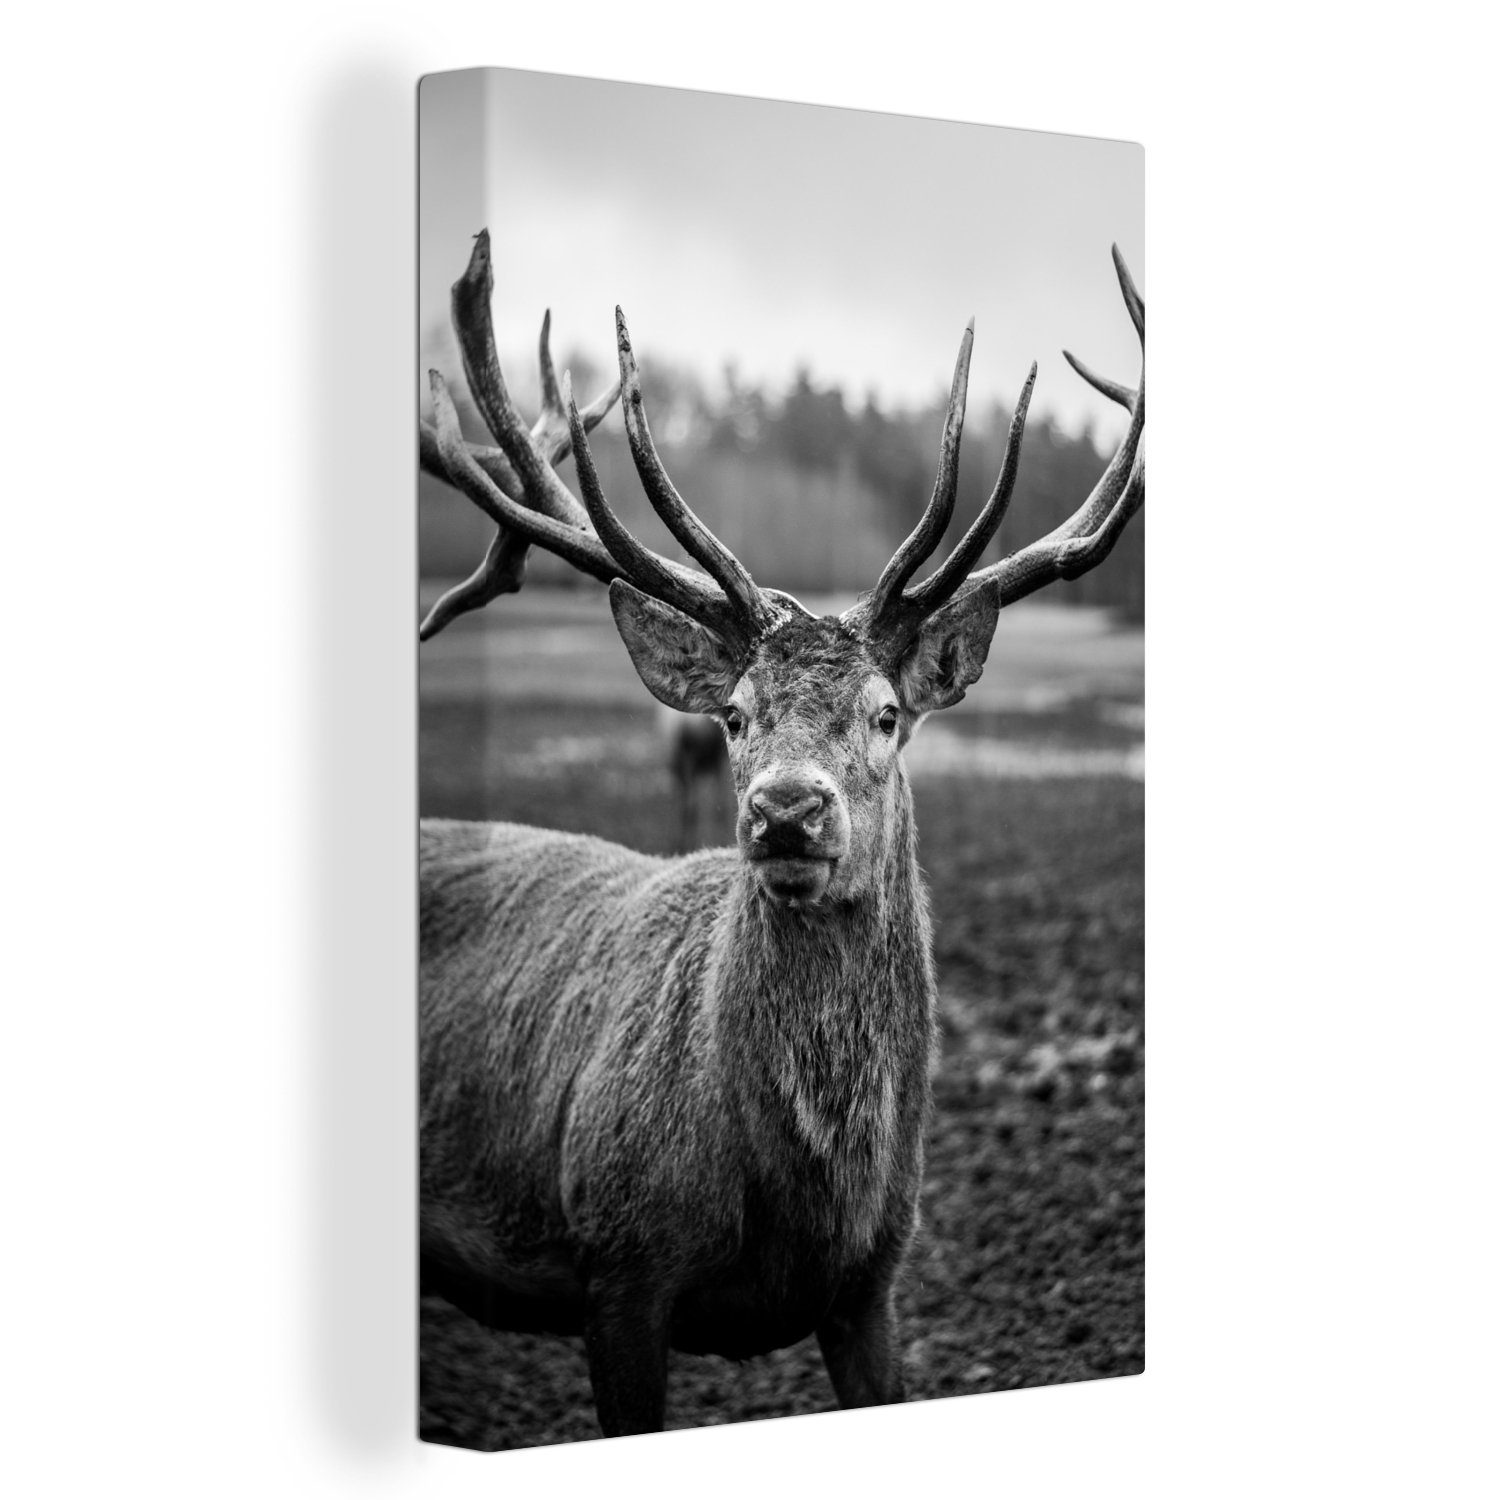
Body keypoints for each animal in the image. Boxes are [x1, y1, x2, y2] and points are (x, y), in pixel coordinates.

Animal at [417, 229, 1144, 1438]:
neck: (801, 1205)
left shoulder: (872, 1287)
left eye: (888, 713)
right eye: (734, 713)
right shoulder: (618, 1266)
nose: (787, 810)